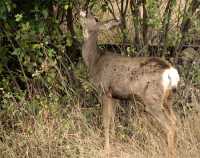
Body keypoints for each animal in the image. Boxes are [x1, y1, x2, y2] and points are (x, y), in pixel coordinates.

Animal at [79, 10, 180, 157]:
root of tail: (170, 71)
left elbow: (106, 120)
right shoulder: (115, 95)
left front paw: (106, 149)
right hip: (168, 99)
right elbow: (113, 119)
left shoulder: (104, 90)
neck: (95, 61)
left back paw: (169, 153)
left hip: (152, 100)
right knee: (175, 121)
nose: (84, 11)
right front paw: (114, 141)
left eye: (96, 18)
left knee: (170, 126)